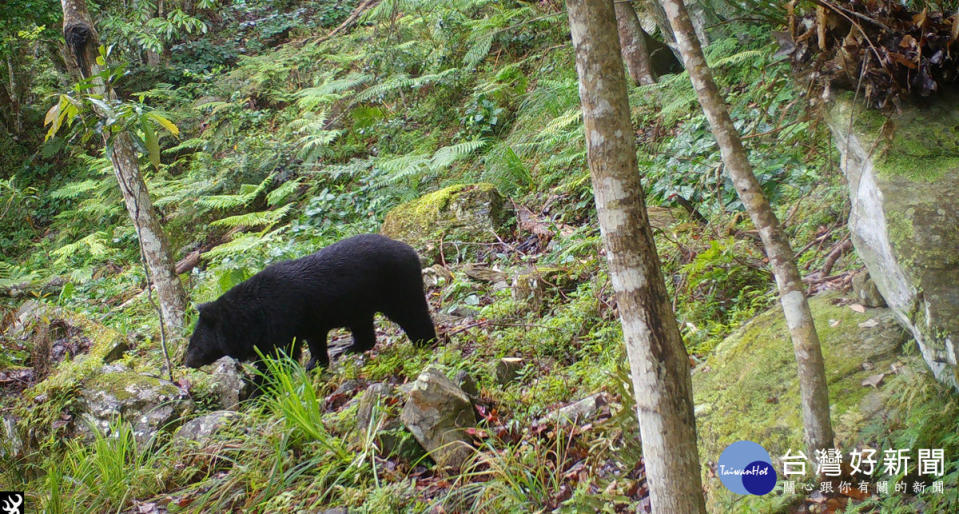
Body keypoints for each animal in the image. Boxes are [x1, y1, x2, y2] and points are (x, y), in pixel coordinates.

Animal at [185, 234, 438, 370]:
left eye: (195, 344)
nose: (187, 362)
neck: (254, 315)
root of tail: (410, 250)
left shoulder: (281, 318)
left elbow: (280, 356)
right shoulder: (308, 321)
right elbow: (314, 342)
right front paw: (315, 363)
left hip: (395, 284)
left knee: (412, 313)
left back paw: (425, 341)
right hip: (359, 303)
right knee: (364, 329)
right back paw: (349, 348)